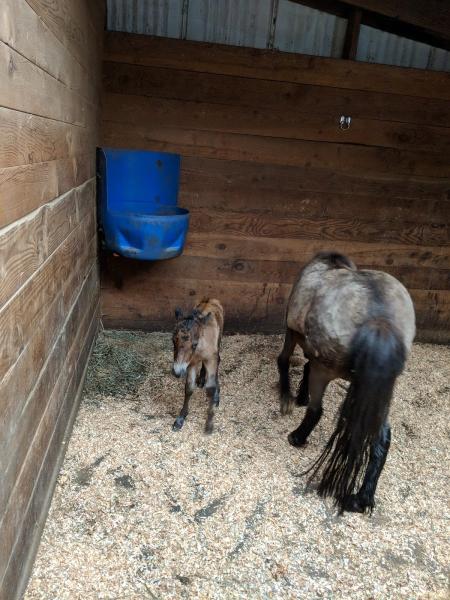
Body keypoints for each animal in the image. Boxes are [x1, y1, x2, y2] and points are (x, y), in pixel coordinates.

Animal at [171, 298, 224, 434]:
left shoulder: (211, 359)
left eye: (194, 344)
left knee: (218, 360)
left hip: (219, 340)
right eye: (173, 340)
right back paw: (201, 379)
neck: (200, 348)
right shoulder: (191, 363)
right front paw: (180, 419)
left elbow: (210, 388)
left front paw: (209, 425)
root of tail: (209, 299)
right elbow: (189, 388)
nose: (177, 372)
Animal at [278, 251, 414, 512]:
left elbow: (284, 360)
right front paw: (299, 396)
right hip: (379, 390)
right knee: (381, 437)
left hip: (325, 371)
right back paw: (361, 498)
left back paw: (297, 437)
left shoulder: (293, 334)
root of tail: (379, 318)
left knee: (317, 410)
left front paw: (288, 396)